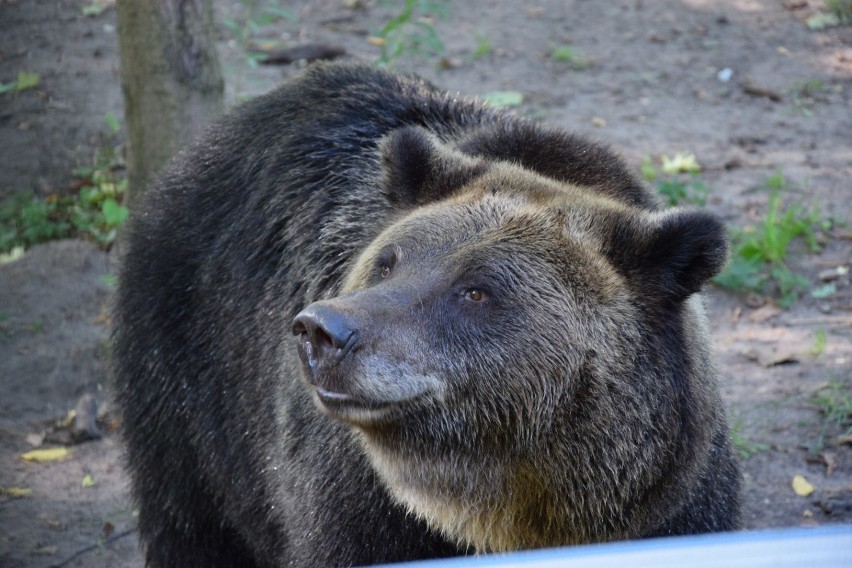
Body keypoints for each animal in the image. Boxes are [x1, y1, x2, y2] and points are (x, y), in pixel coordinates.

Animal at [113, 62, 740, 568]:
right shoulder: (362, 515)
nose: (322, 330)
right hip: (191, 377)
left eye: (476, 291)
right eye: (388, 261)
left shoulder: (672, 507)